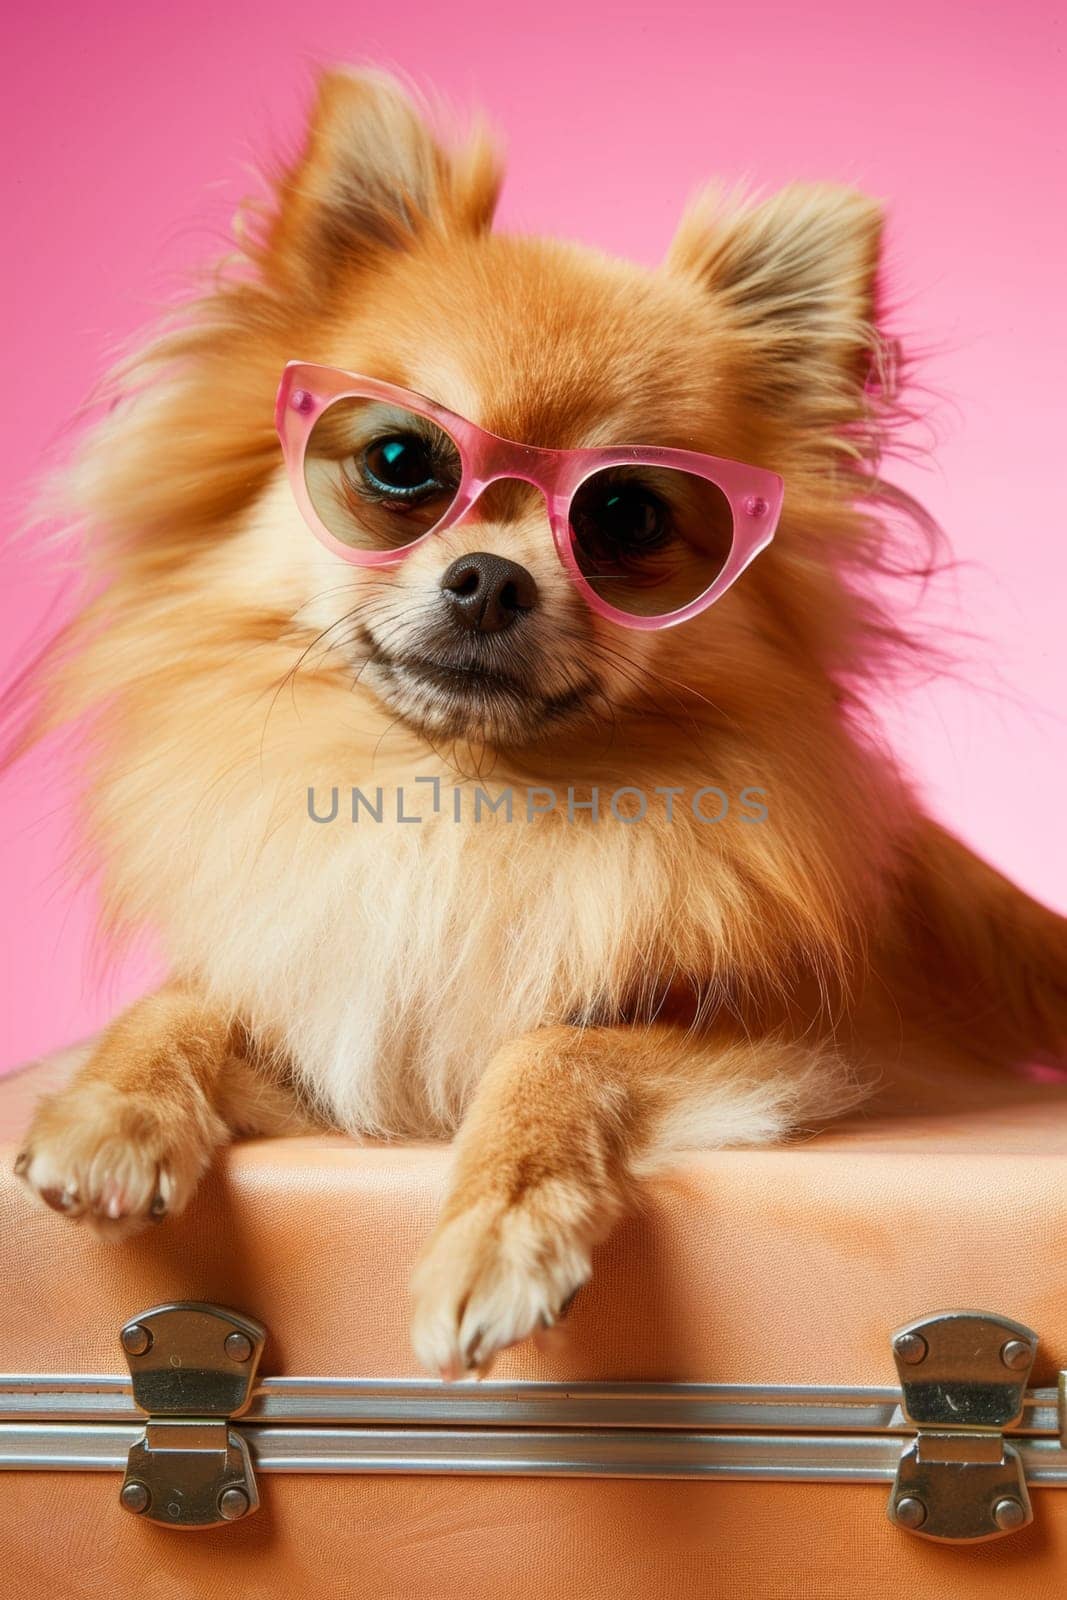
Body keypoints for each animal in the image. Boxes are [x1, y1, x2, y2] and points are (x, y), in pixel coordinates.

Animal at [10, 72, 1067, 1376]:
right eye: (399, 461)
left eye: (625, 517)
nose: (489, 579)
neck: (459, 806)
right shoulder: (330, 987)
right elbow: (192, 997)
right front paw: (112, 1108)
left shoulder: (807, 1048)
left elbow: (554, 1045)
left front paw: (500, 1229)